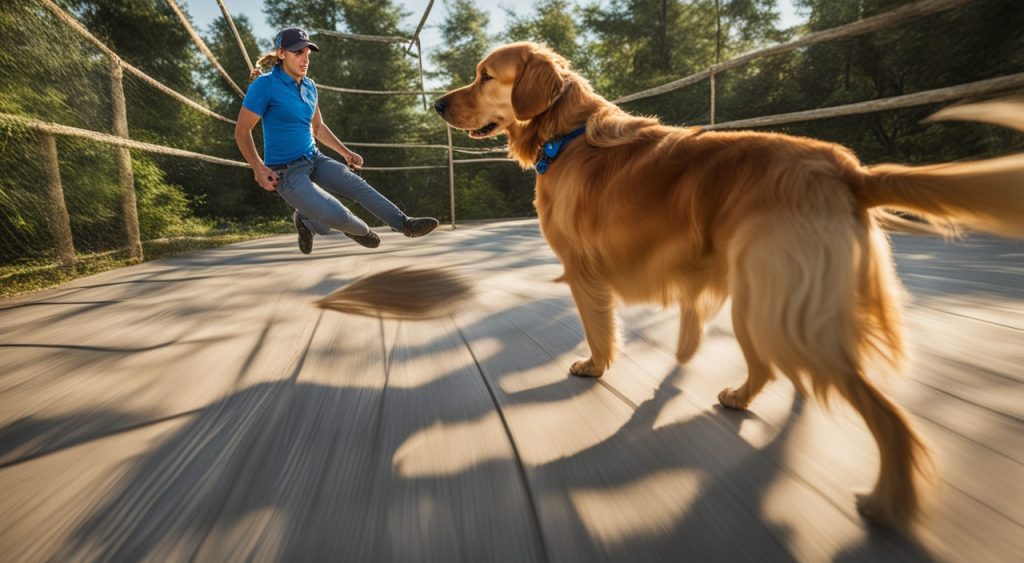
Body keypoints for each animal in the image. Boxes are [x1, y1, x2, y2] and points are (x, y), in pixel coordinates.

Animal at [434, 40, 1024, 528]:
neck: (568, 135)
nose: (438, 105)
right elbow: (684, 323)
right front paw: (677, 359)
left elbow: (600, 330)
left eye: (486, 76)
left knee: (888, 416)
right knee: (769, 369)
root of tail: (843, 168)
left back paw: (886, 502)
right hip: (757, 300)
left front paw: (595, 367)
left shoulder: (584, 271)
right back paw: (740, 397)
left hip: (777, 309)